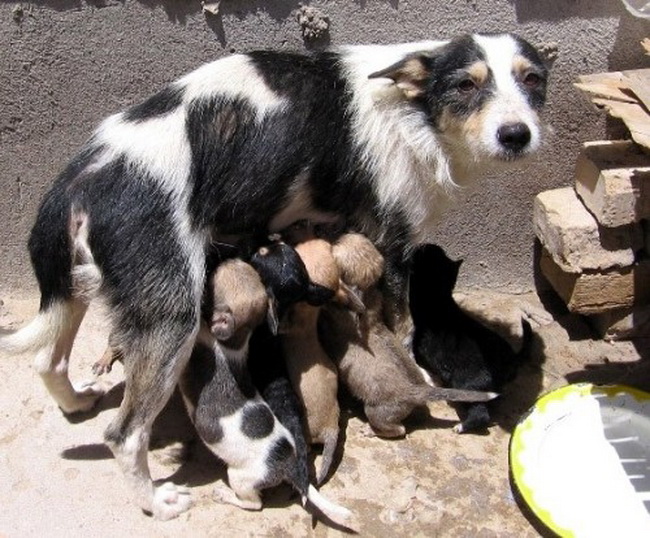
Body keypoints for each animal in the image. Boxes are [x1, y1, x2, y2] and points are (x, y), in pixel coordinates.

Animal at [0, 32, 548, 516]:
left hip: (83, 283)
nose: (516, 135)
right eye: (466, 85)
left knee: (47, 360)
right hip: (171, 316)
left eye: (533, 80)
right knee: (124, 433)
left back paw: (75, 401)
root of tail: (82, 174)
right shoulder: (392, 243)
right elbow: (406, 327)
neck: (412, 108)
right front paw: (423, 376)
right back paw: (156, 502)